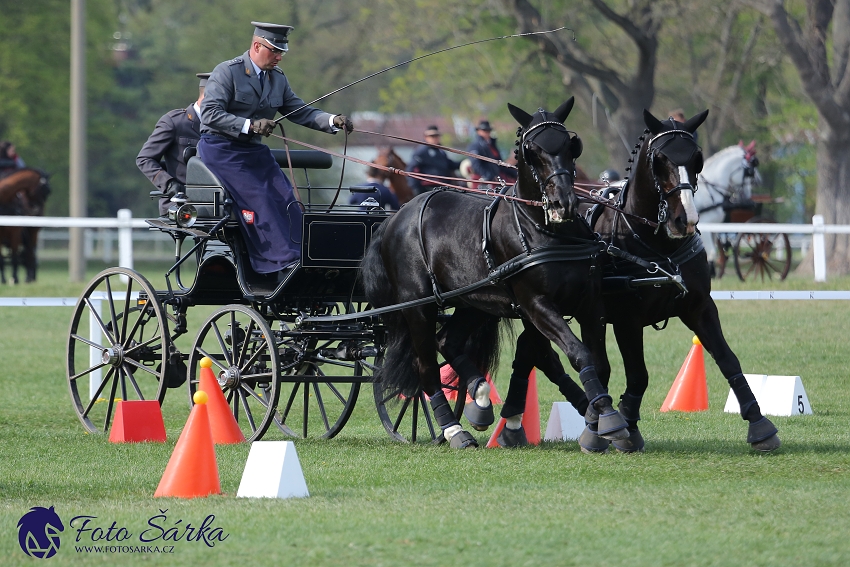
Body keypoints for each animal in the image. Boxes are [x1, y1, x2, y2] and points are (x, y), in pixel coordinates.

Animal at [360, 100, 628, 450]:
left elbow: (598, 362)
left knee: (448, 341)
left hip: (472, 303)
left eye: (572, 145)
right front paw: (607, 418)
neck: (547, 231)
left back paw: (480, 397)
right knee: (427, 365)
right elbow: (578, 353)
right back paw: (453, 430)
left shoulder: (590, 305)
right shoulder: (537, 305)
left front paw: (598, 419)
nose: (563, 203)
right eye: (531, 150)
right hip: (418, 307)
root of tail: (395, 217)